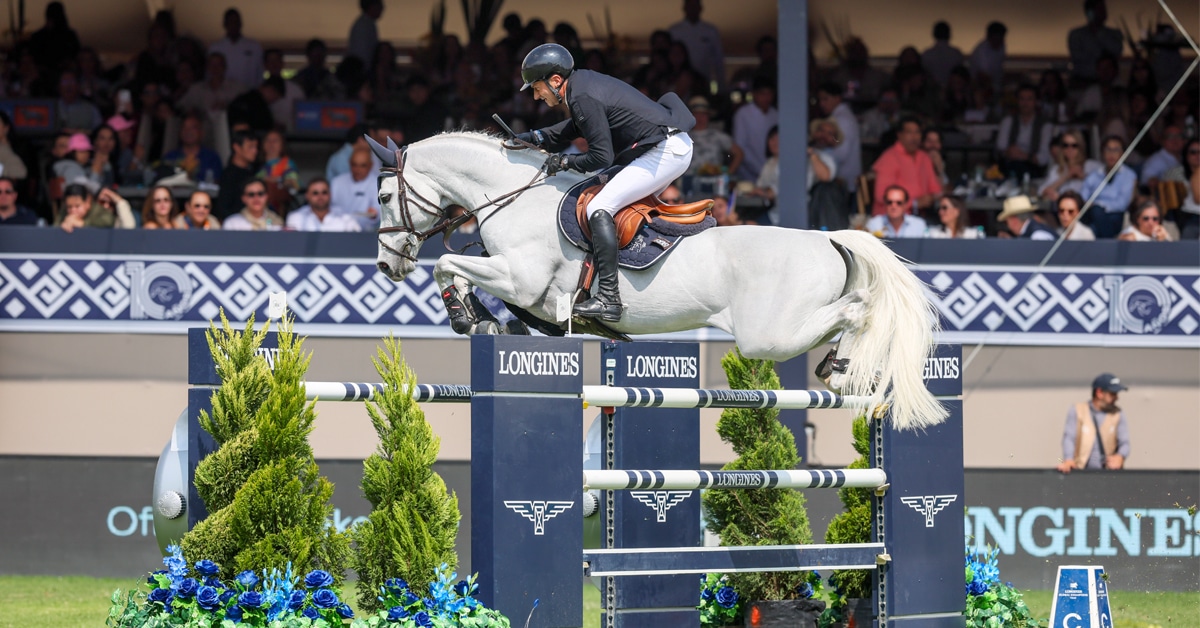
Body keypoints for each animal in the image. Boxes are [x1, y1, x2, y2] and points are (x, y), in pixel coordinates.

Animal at [369, 131, 946, 431]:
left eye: (382, 197)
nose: (386, 266)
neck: (513, 195)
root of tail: (826, 239)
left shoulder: (521, 278)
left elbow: (448, 266)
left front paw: (467, 318)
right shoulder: (529, 293)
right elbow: (489, 295)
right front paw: (487, 322)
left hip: (768, 335)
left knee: (861, 306)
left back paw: (847, 365)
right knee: (851, 311)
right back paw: (841, 367)